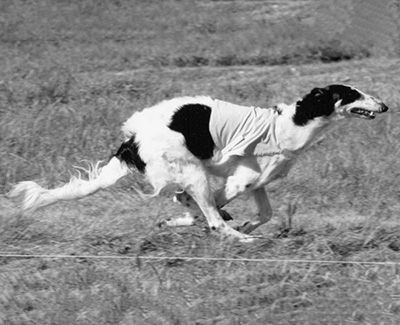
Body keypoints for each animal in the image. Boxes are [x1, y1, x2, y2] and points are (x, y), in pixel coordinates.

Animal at [9, 83, 390, 240]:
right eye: (352, 94)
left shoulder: (257, 182)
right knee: (207, 213)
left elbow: (264, 214)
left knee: (197, 206)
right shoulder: (239, 181)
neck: (290, 125)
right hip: (192, 171)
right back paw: (242, 240)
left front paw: (246, 224)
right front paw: (236, 227)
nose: (385, 105)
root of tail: (131, 140)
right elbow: (212, 210)